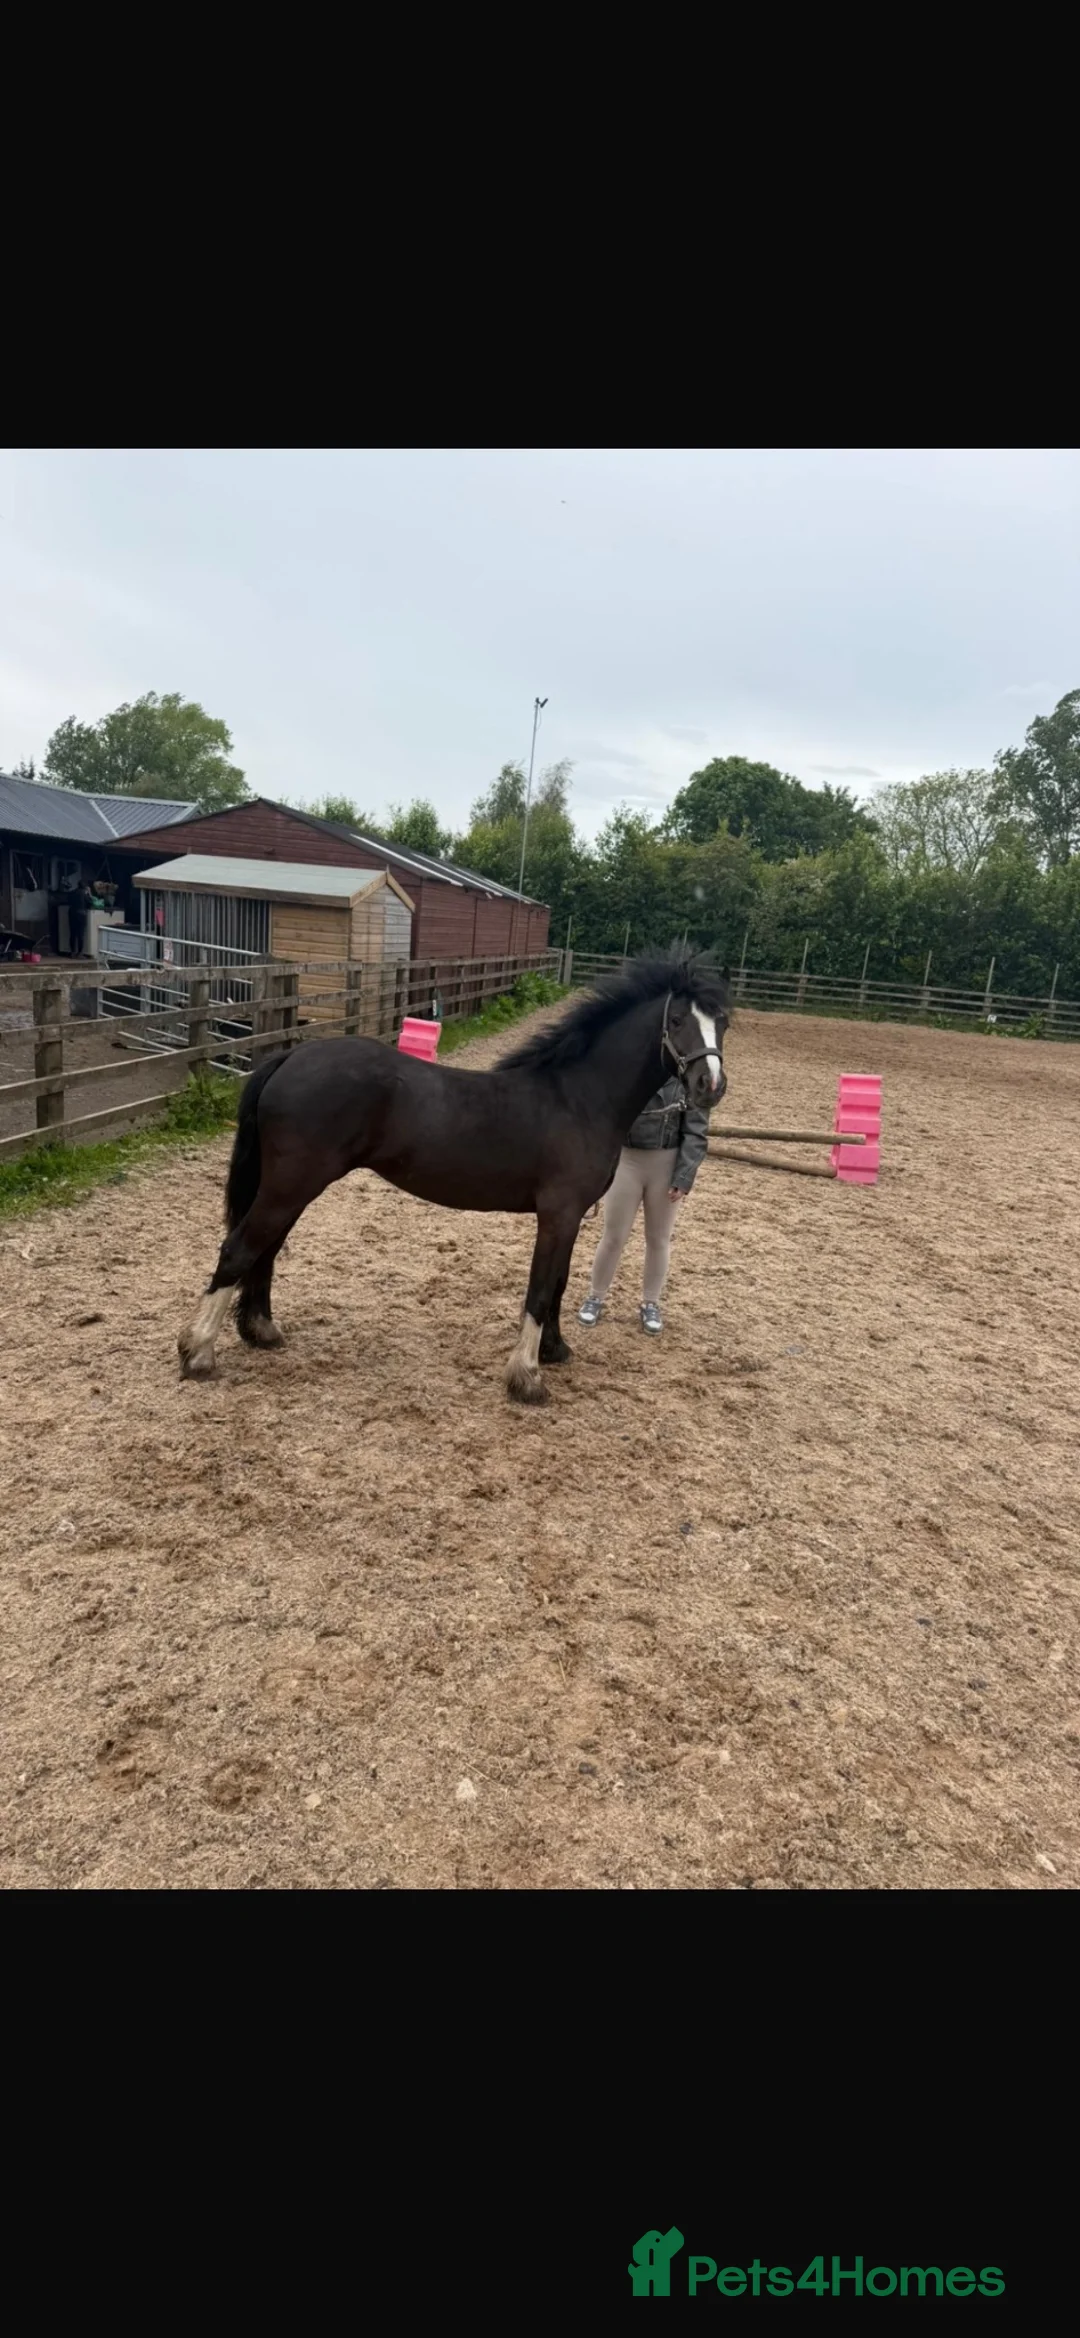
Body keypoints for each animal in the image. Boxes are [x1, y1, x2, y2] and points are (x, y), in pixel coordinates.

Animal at [177, 949, 730, 1404]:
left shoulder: (571, 1218)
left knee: (264, 1251)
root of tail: (291, 1055)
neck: (578, 1098)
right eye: (677, 1019)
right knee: (240, 1249)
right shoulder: (557, 1215)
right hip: (291, 1186)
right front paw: (527, 1378)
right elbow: (539, 1289)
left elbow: (559, 1284)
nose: (710, 1084)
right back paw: (198, 1352)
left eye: (721, 1023)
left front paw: (554, 1351)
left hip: (289, 1189)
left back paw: (261, 1332)